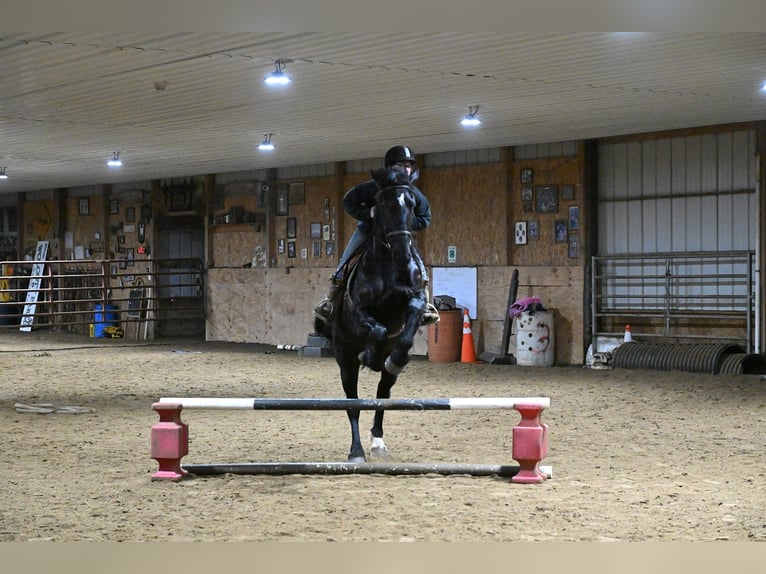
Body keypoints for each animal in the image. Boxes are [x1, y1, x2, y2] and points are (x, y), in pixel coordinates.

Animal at [314, 167, 429, 462]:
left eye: (411, 204)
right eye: (383, 205)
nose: (403, 254)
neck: (389, 266)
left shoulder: (415, 300)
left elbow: (409, 322)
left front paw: (395, 358)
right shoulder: (358, 312)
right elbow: (376, 329)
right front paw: (369, 355)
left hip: (382, 375)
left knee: (383, 392)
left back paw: (377, 440)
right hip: (344, 360)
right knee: (352, 403)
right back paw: (356, 451)